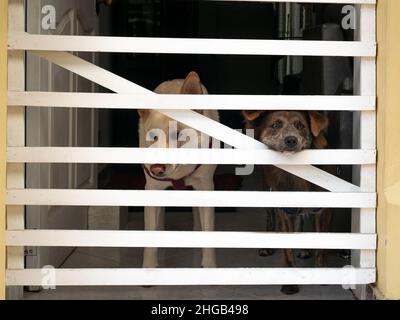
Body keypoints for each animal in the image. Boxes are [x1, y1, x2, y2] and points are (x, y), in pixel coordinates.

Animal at [242, 110, 332, 296]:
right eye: (275, 125)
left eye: (300, 126)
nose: (291, 140)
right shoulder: (285, 211)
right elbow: (288, 249)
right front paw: (290, 284)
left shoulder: (324, 210)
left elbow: (322, 246)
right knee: (271, 220)